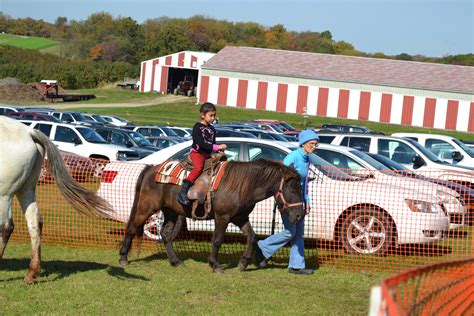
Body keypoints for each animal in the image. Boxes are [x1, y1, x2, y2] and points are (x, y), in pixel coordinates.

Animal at [0, 116, 110, 284]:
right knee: (34, 223)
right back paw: (32, 273)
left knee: (6, 227)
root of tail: (29, 132)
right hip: (26, 189)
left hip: (4, 194)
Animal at [118, 159, 304, 272]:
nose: (299, 215)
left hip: (170, 212)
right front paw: (215, 265)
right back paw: (123, 257)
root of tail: (151, 168)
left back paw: (176, 261)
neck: (242, 185)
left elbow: (252, 237)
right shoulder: (223, 217)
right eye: (293, 189)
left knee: (165, 234)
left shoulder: (240, 218)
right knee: (132, 227)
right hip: (146, 207)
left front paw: (243, 263)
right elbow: (217, 240)